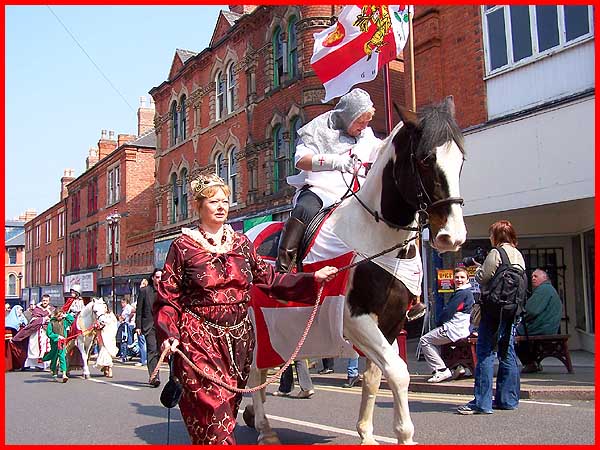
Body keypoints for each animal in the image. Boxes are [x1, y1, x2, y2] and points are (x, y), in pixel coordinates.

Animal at [246, 96, 466, 444]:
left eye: (460, 160)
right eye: (425, 159)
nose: (451, 237)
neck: (377, 236)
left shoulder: (390, 323)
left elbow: (375, 375)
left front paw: (366, 433)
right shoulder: (356, 319)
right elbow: (398, 373)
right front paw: (404, 434)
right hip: (258, 324)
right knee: (256, 369)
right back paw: (265, 428)